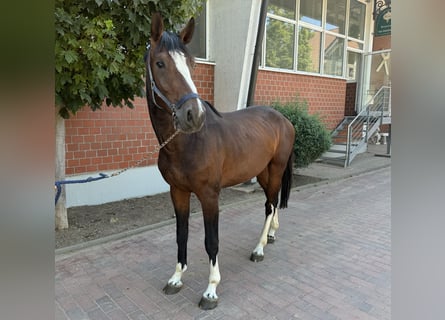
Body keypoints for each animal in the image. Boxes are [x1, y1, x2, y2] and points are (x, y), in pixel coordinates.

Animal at [144, 13, 294, 310]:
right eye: (160, 63)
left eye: (191, 64)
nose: (194, 115)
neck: (187, 143)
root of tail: (284, 119)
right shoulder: (178, 192)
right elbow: (181, 234)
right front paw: (176, 278)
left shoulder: (209, 195)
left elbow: (211, 241)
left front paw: (211, 290)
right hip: (262, 172)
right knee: (272, 202)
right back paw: (271, 235)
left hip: (275, 169)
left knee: (270, 205)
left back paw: (259, 248)